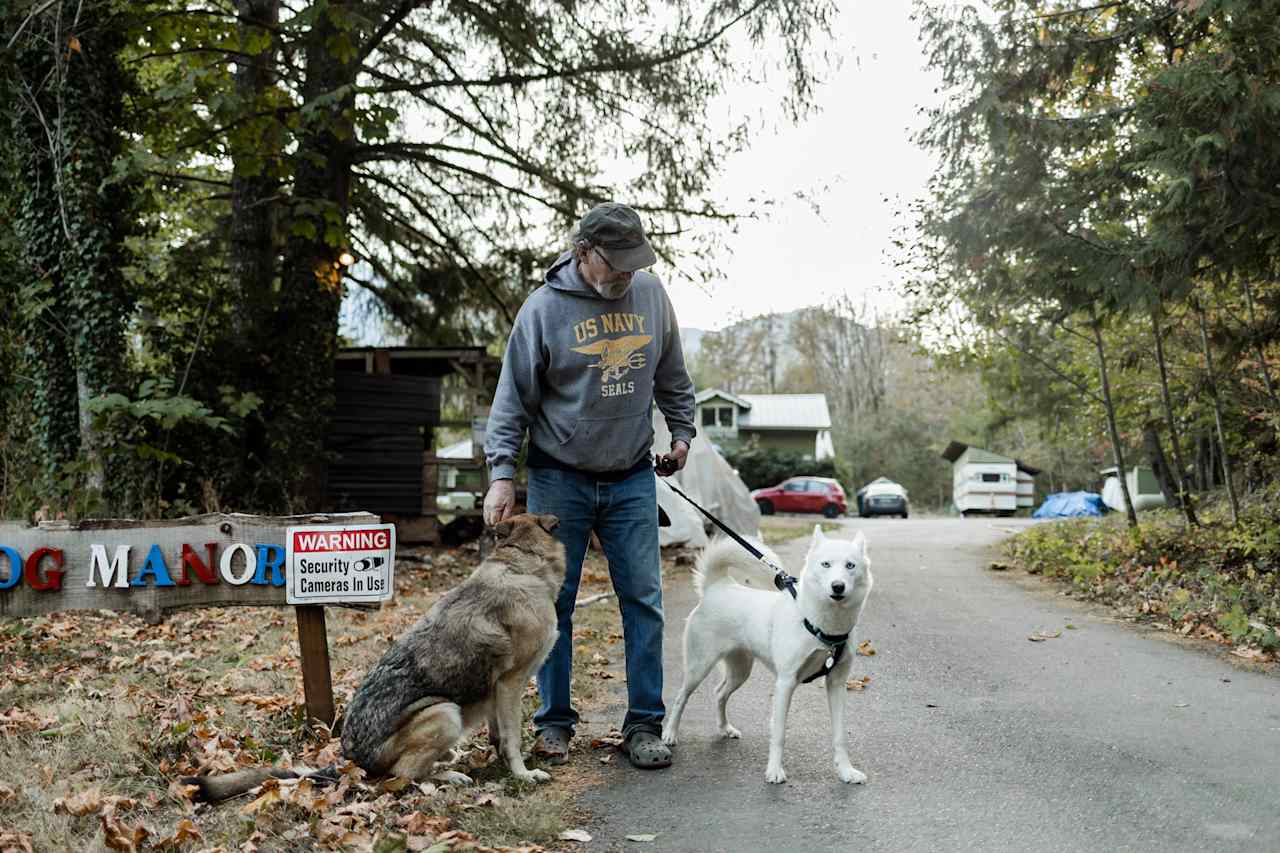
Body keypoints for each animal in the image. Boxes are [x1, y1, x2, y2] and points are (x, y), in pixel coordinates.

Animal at [186, 512, 565, 799]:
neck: (521, 566)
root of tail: (351, 760)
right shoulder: (511, 684)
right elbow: (512, 738)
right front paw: (522, 774)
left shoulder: (495, 690)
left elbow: (499, 735)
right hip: (444, 713)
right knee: (403, 776)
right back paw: (447, 777)